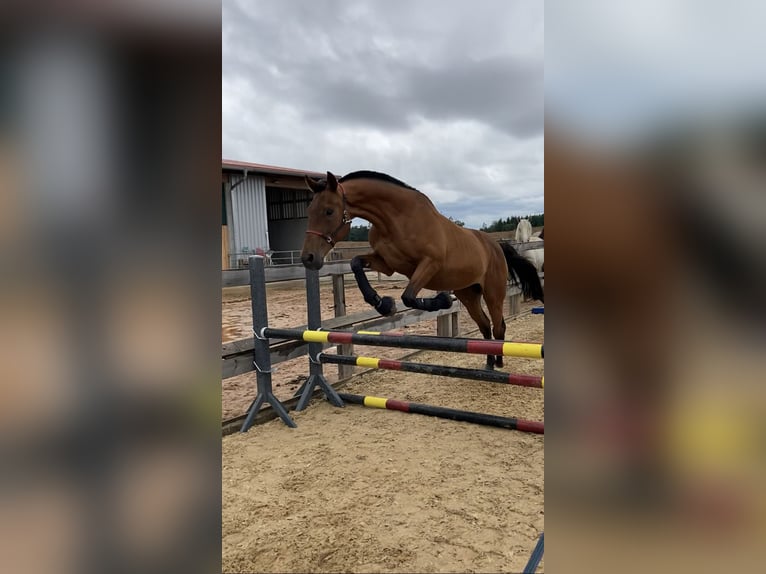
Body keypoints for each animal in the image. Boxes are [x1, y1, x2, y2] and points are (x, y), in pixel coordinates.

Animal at [300, 171, 544, 372]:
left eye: (329, 211)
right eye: (309, 211)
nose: (308, 258)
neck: (395, 220)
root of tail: (496, 246)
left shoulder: (429, 265)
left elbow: (408, 297)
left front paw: (442, 300)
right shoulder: (387, 264)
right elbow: (356, 264)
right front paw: (382, 303)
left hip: (493, 293)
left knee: (498, 326)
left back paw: (499, 362)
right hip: (468, 293)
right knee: (484, 325)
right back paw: (489, 363)